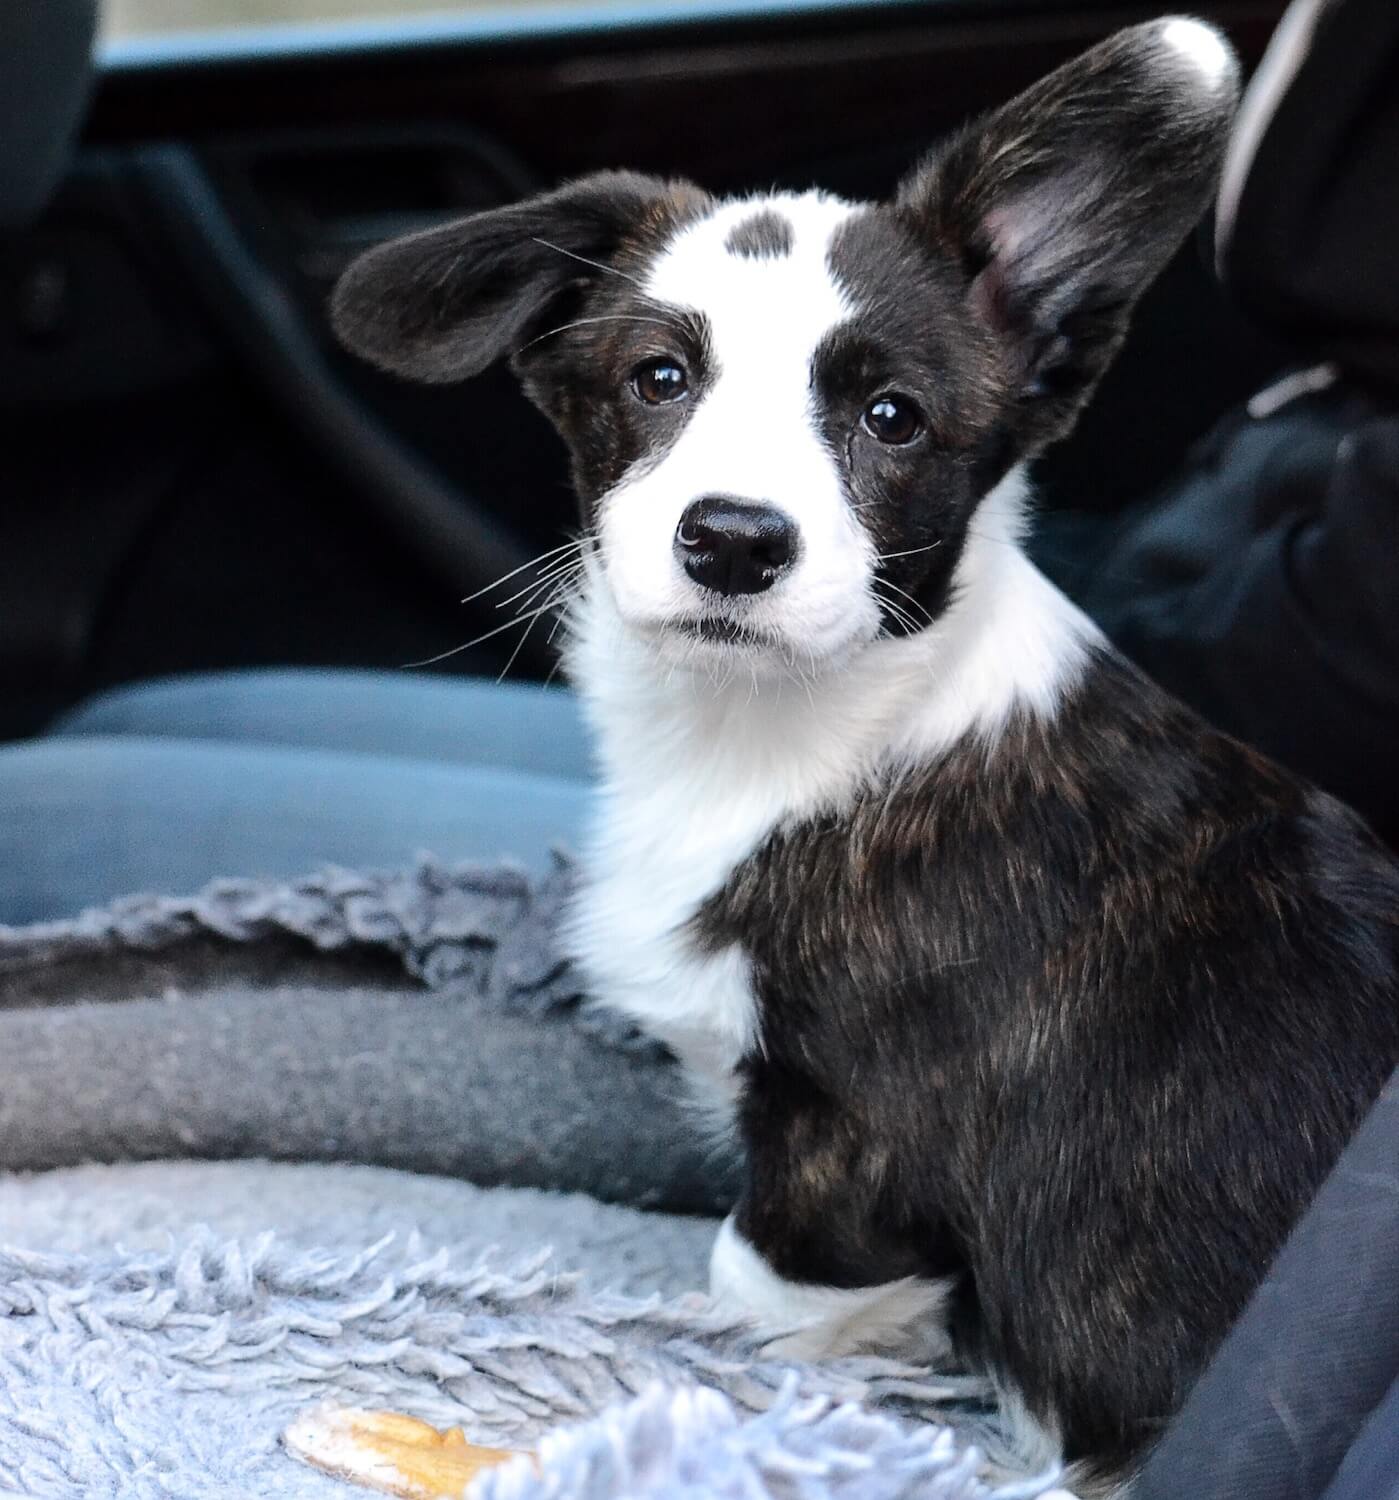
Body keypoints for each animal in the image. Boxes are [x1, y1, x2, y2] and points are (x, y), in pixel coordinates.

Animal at [332, 20, 1397, 1488]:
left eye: (891, 418)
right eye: (658, 380)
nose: (732, 541)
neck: (781, 729)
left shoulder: (846, 1163)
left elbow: (749, 1294)